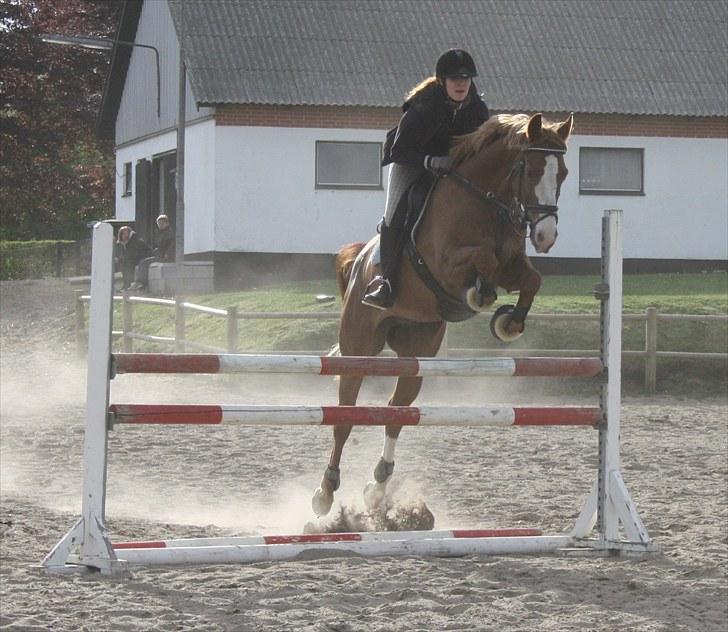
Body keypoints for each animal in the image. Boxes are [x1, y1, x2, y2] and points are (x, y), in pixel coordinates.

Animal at [312, 112, 576, 520]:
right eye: (531, 169)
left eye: (561, 173)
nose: (546, 236)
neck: (487, 201)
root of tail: (357, 262)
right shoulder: (446, 264)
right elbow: (482, 260)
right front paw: (481, 294)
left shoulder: (514, 265)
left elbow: (532, 278)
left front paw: (509, 323)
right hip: (359, 346)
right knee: (344, 416)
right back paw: (325, 493)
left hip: (417, 352)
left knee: (396, 410)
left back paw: (377, 487)